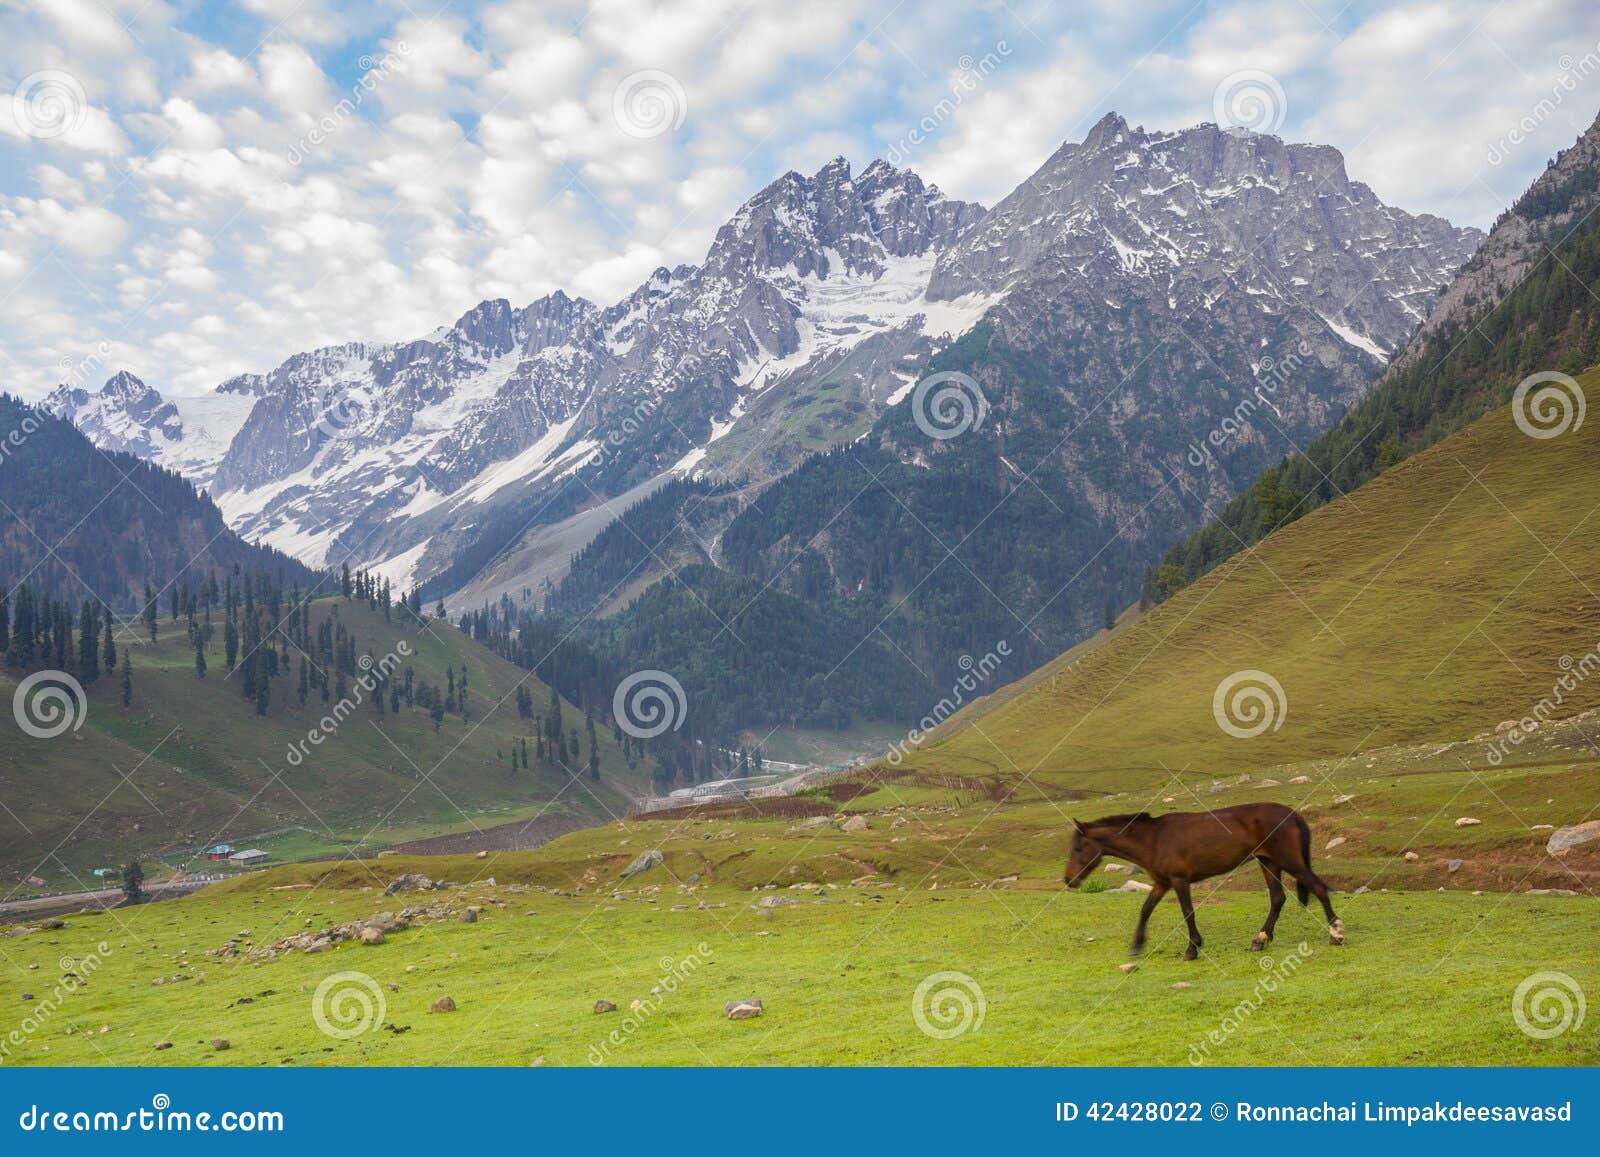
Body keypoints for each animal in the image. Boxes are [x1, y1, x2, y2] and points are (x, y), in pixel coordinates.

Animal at [1068, 806, 1344, 960]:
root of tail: (1293, 815)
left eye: (1078, 848)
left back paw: (1336, 934)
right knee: (1277, 899)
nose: (1068, 880)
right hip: (1268, 862)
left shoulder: (1180, 881)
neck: (1153, 839)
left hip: (1288, 861)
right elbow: (1145, 910)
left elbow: (1188, 912)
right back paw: (1260, 940)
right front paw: (1137, 945)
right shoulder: (1161, 883)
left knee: (1319, 888)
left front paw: (1192, 949)